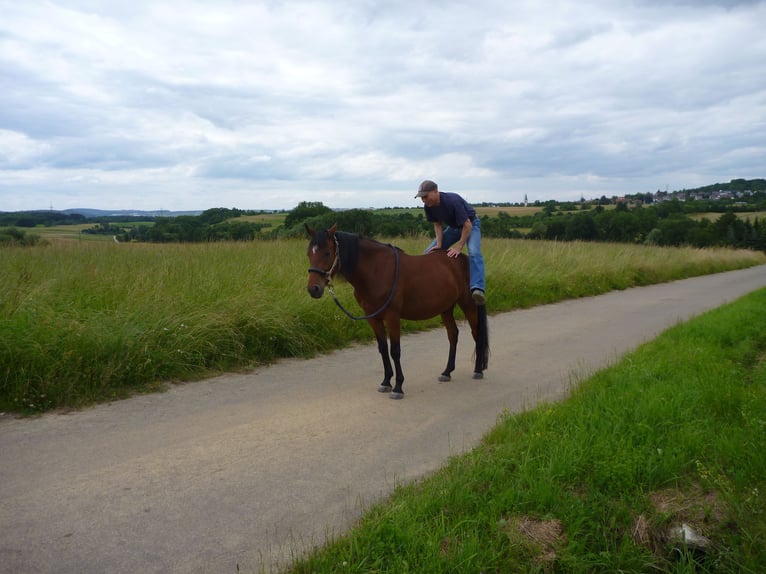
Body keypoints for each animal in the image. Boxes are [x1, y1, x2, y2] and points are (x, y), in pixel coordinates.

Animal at [308, 225, 492, 400]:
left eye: (327, 253)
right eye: (309, 253)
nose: (313, 289)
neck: (376, 270)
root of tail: (463, 259)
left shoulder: (392, 317)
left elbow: (395, 351)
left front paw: (398, 387)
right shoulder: (373, 318)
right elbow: (383, 348)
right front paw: (386, 382)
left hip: (469, 305)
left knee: (477, 334)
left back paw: (478, 370)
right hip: (446, 308)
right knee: (453, 334)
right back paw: (447, 372)